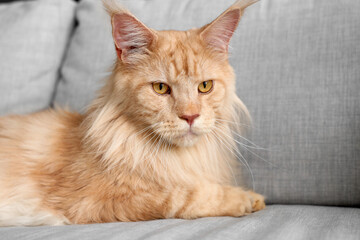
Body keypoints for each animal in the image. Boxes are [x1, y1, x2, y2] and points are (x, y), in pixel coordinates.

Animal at [0, 0, 264, 226]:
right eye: (160, 88)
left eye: (205, 86)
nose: (190, 117)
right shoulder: (99, 202)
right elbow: (184, 196)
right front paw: (245, 199)